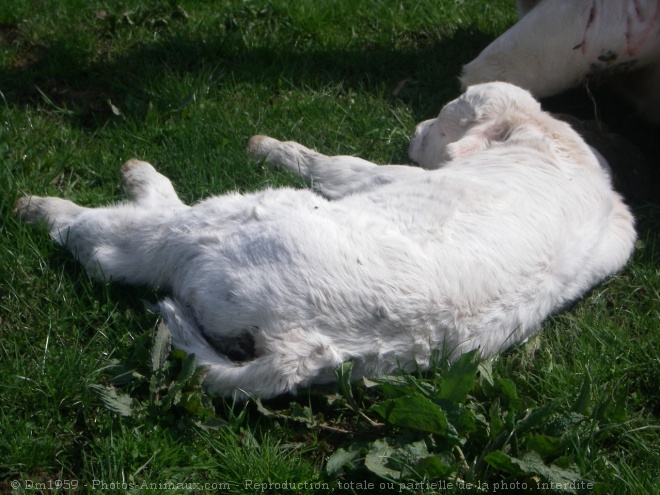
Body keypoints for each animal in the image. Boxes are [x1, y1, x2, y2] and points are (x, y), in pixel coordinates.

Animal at [14, 81, 636, 400]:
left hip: (229, 222)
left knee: (111, 244)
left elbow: (338, 164)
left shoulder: (383, 177)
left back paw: (61, 203)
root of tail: (304, 348)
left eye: (442, 121)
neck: (551, 144)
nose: (415, 130)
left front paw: (270, 147)